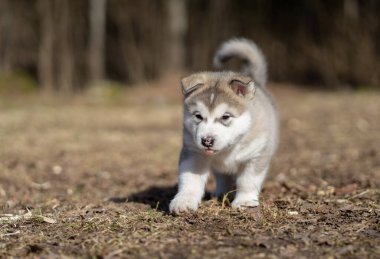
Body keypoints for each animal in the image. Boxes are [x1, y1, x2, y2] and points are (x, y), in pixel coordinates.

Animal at [169, 38, 280, 213]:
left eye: (225, 117)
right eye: (198, 116)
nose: (207, 141)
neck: (228, 149)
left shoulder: (257, 155)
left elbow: (248, 180)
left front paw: (245, 201)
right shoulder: (194, 153)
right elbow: (190, 179)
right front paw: (184, 200)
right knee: (223, 177)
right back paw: (220, 193)